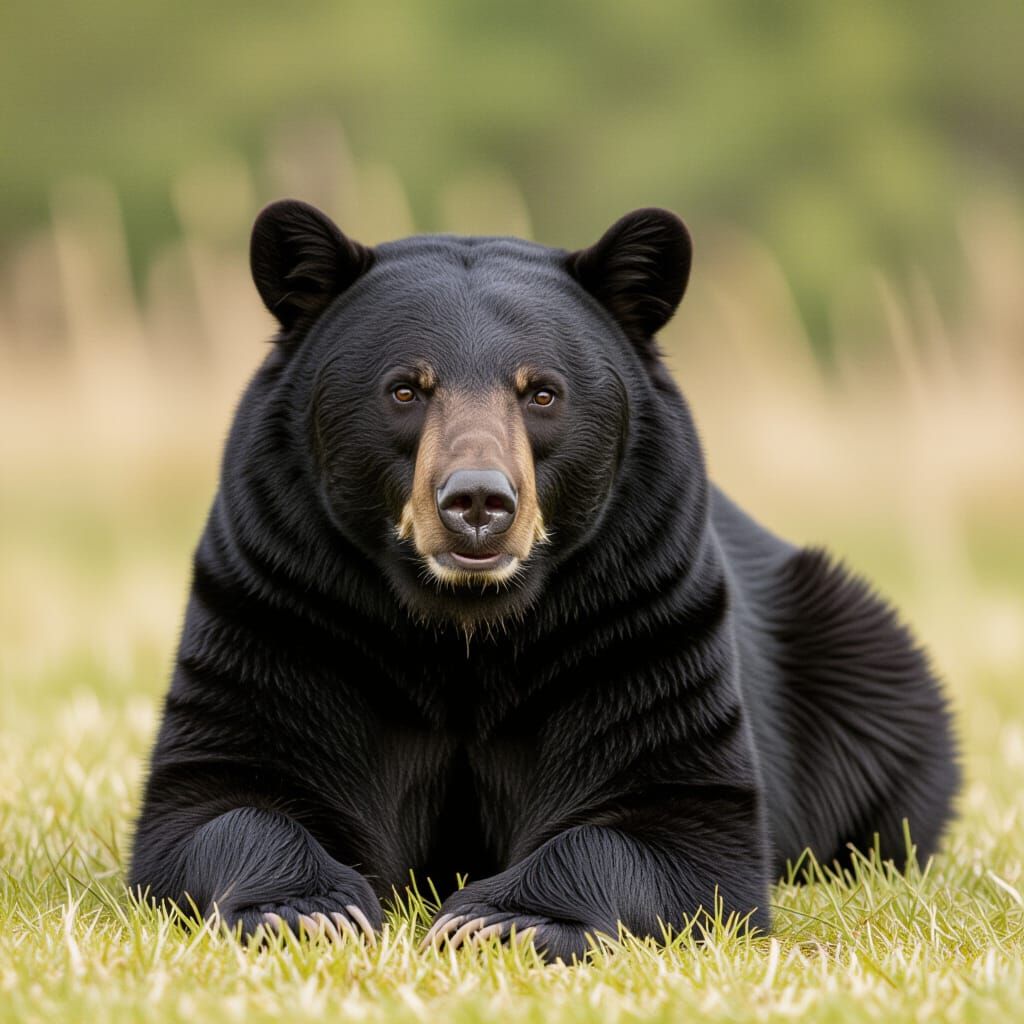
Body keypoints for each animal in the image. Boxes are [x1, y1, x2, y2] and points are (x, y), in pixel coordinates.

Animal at [128, 199, 960, 961]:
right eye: (406, 390)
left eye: (541, 392)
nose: (477, 503)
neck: (462, 626)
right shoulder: (282, 613)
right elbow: (220, 797)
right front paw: (307, 911)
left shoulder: (640, 631)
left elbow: (674, 823)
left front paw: (499, 919)